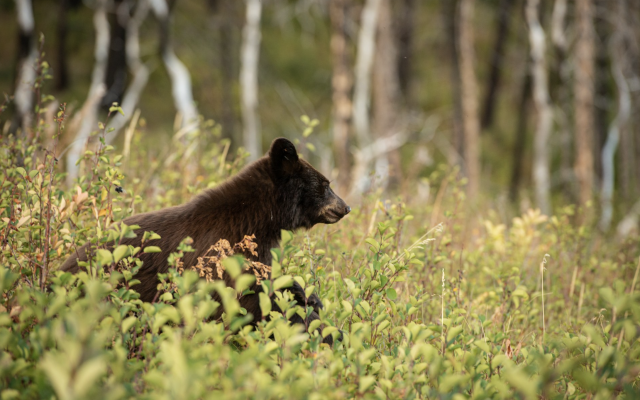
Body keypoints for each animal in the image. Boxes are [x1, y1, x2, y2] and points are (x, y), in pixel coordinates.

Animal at [58, 139, 350, 342]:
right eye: (326, 185)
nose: (346, 207)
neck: (259, 219)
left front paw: (311, 299)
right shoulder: (224, 255)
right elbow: (256, 300)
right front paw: (326, 332)